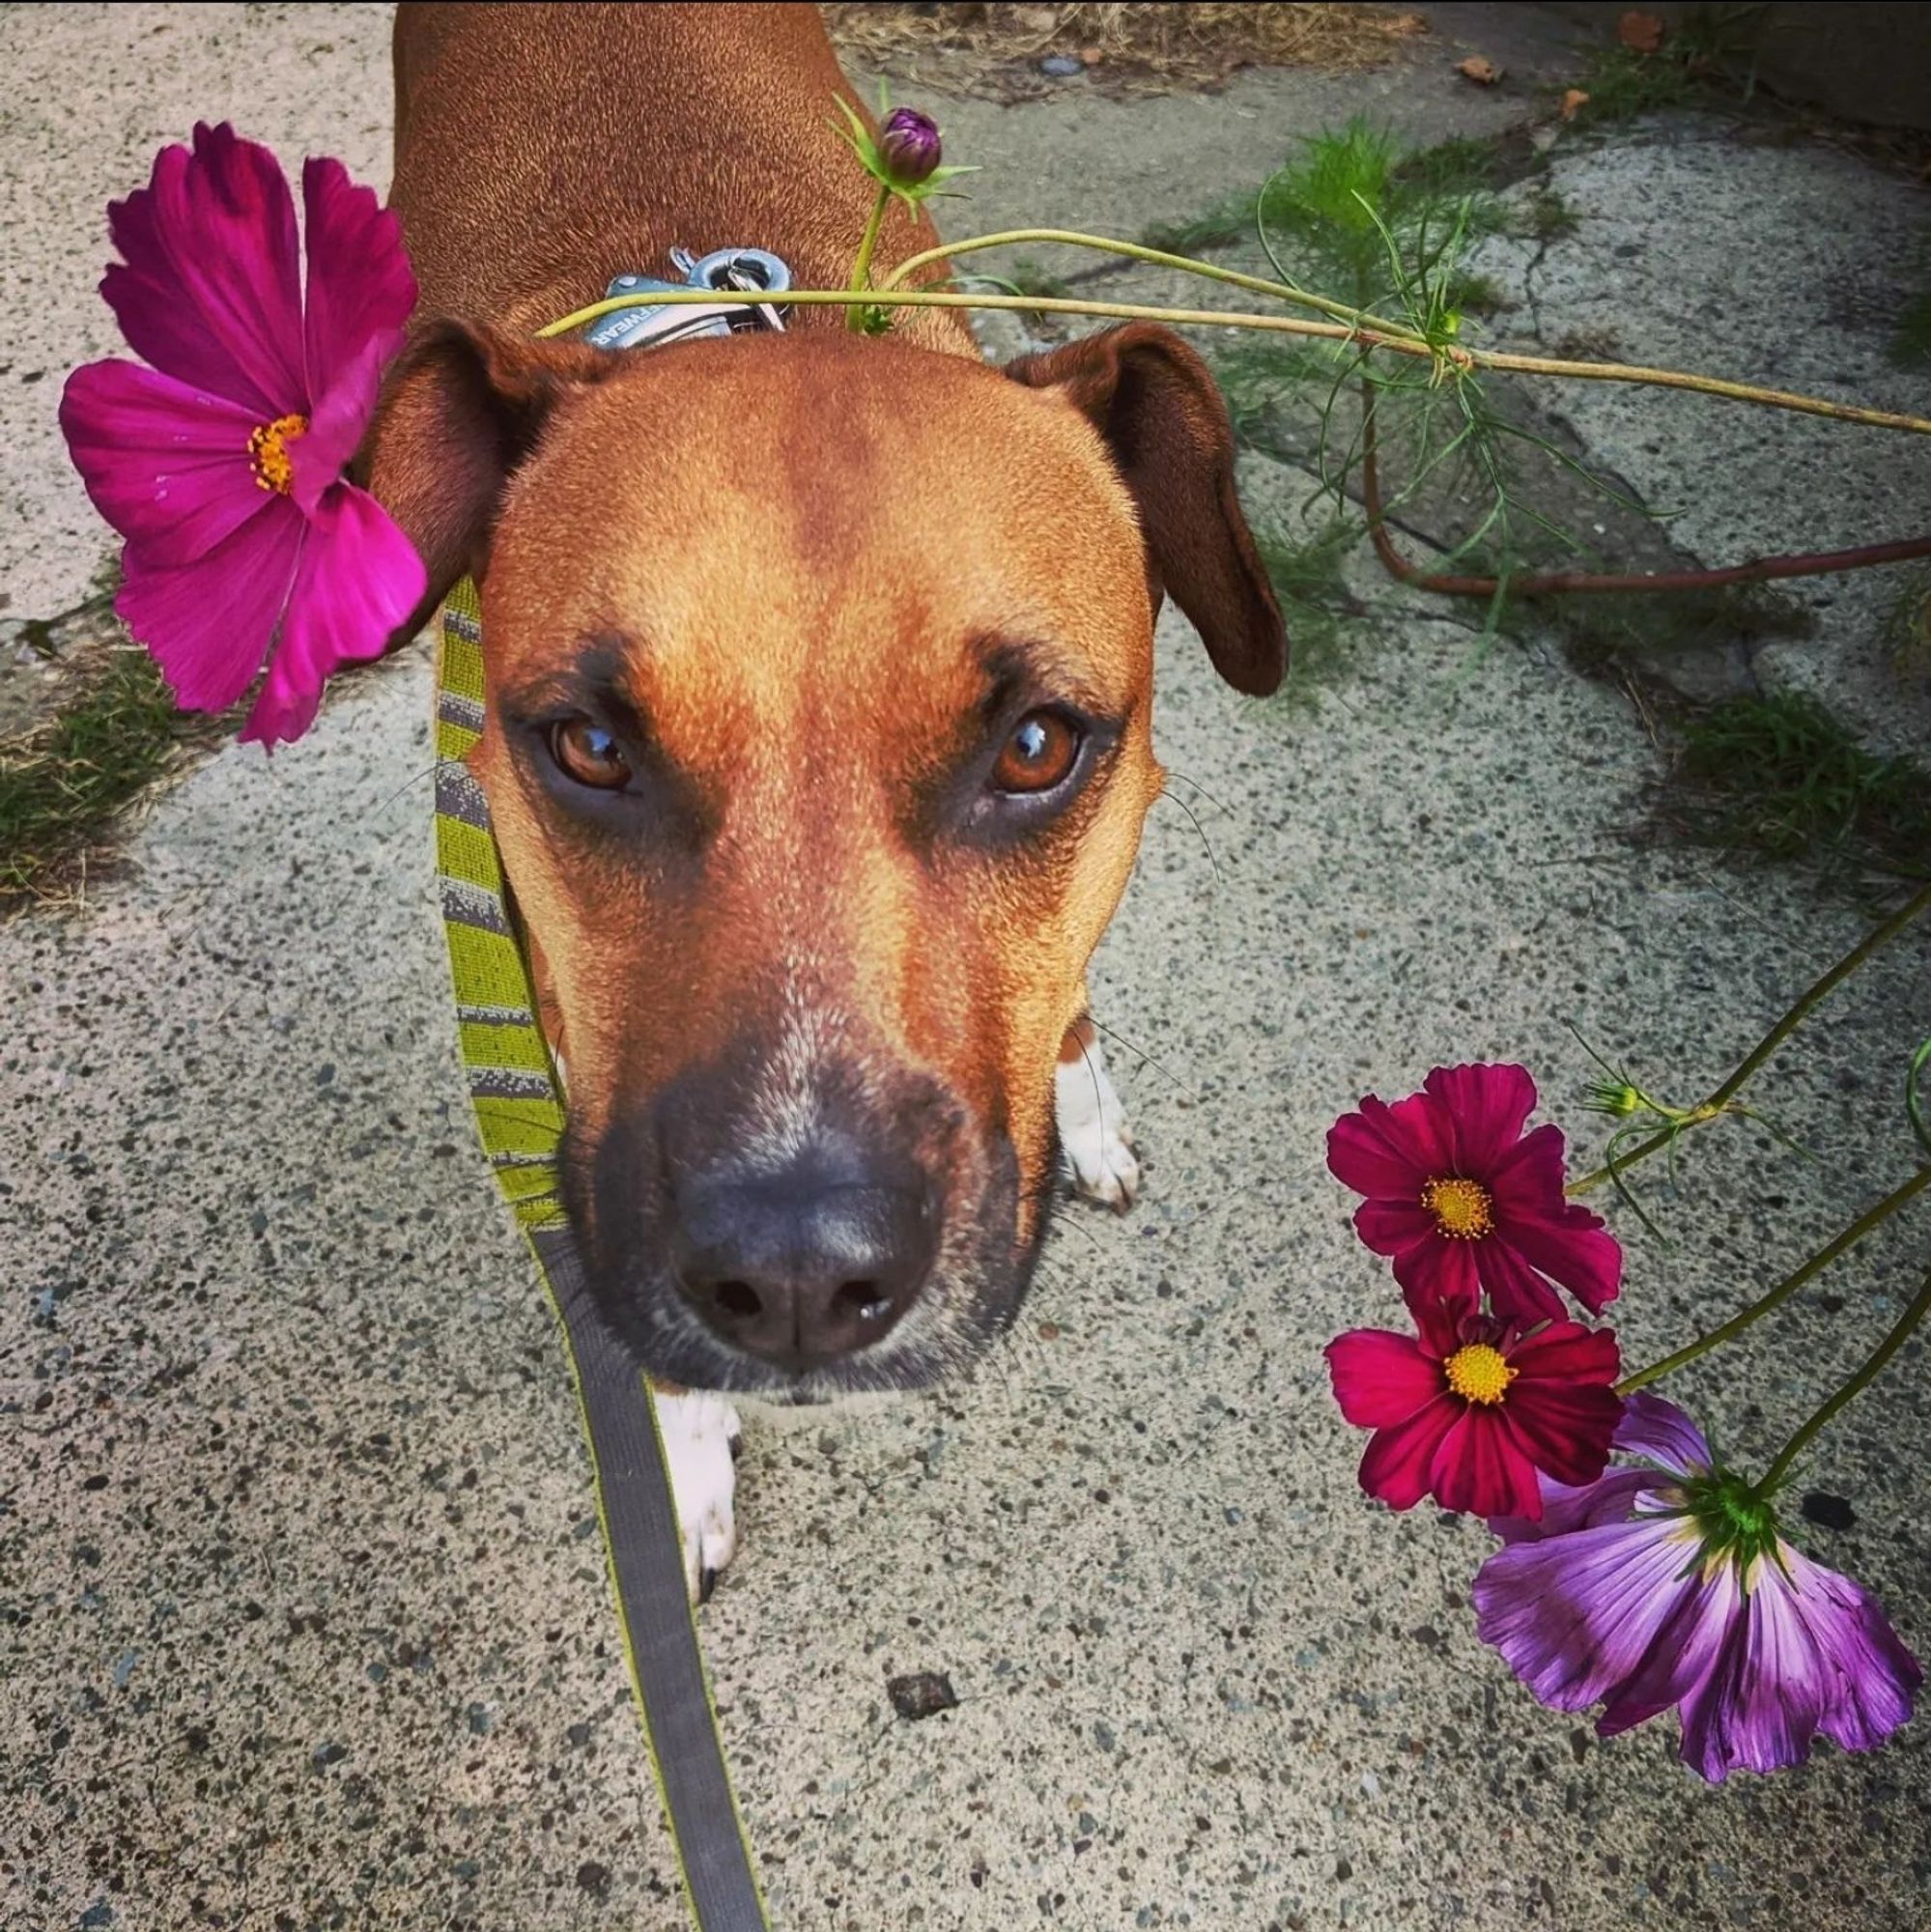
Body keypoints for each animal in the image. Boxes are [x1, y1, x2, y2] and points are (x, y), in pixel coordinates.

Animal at [370, 0, 1290, 1592]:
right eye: (589, 745)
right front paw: (678, 1468)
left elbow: (1072, 996)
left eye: (1035, 745)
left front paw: (1086, 1104)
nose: (795, 1274)